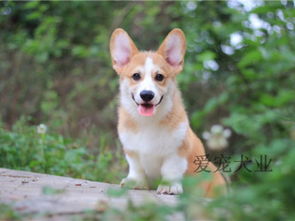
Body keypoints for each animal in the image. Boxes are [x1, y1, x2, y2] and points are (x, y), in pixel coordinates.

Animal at [110, 28, 228, 196]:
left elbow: (170, 170)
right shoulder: (132, 151)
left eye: (159, 77)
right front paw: (135, 182)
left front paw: (169, 186)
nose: (147, 95)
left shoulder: (176, 151)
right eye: (136, 76)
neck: (148, 121)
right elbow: (136, 168)